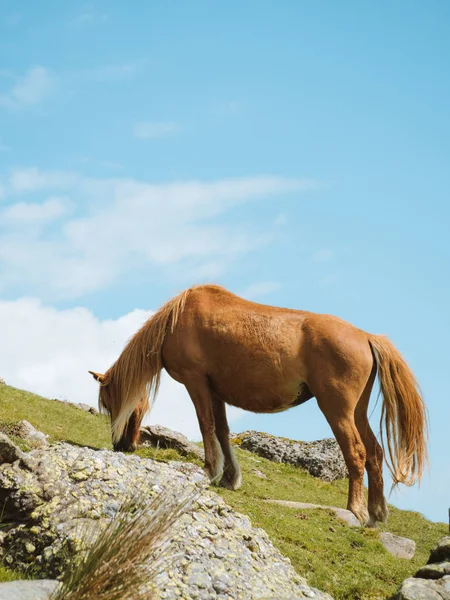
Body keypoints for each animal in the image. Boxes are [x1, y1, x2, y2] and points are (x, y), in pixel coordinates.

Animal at [89, 284, 428, 524]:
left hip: (337, 409)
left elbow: (206, 425)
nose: (121, 446)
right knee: (374, 452)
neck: (177, 320)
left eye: (111, 405)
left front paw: (209, 470)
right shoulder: (215, 390)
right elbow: (222, 431)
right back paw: (376, 513)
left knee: (356, 453)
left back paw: (355, 510)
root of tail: (367, 337)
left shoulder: (196, 383)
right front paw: (230, 477)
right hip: (356, 411)